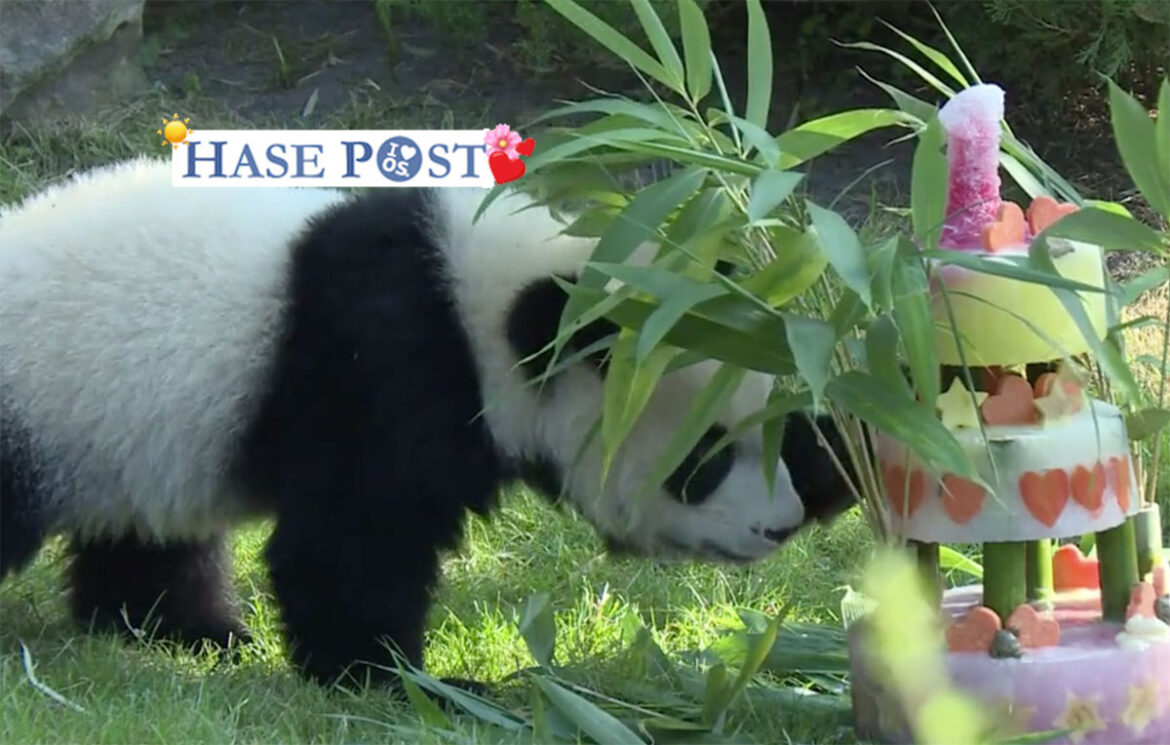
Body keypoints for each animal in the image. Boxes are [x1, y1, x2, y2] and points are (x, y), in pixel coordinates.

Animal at [0, 157, 854, 688]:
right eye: (699, 461)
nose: (778, 525)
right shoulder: (380, 361)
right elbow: (350, 537)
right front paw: (410, 679)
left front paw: (841, 459)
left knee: (144, 540)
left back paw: (190, 634)